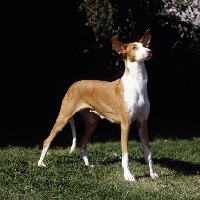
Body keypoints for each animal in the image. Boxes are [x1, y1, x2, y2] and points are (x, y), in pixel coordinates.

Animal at [38, 29, 158, 181]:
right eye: (134, 48)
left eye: (144, 45)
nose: (149, 51)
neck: (137, 84)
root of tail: (73, 84)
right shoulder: (125, 125)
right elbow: (125, 155)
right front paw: (128, 175)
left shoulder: (142, 124)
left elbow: (148, 153)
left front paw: (152, 174)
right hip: (63, 118)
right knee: (47, 140)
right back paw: (40, 163)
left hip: (91, 123)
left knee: (82, 144)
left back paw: (88, 165)